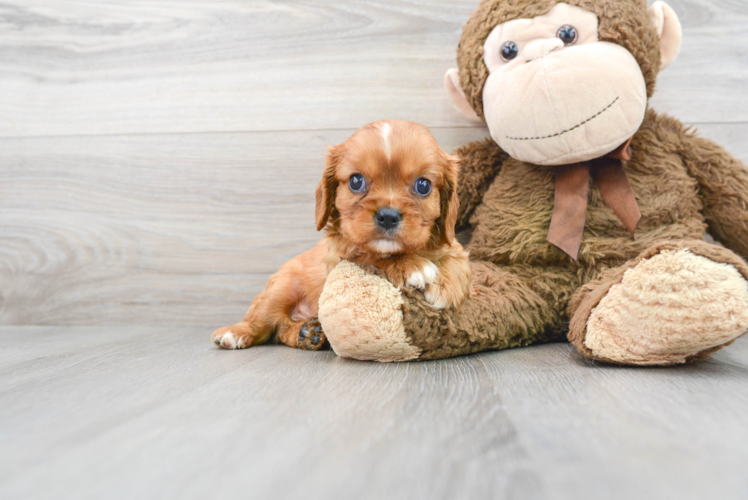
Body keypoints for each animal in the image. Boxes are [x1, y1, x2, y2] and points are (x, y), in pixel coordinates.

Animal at [210, 119, 470, 350]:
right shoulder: (340, 256)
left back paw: (308, 332)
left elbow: (457, 262)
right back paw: (236, 333)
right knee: (263, 324)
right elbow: (369, 255)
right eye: (356, 181)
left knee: (281, 329)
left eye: (423, 185)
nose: (387, 216)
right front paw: (412, 266)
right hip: (280, 288)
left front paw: (446, 286)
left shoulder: (452, 246)